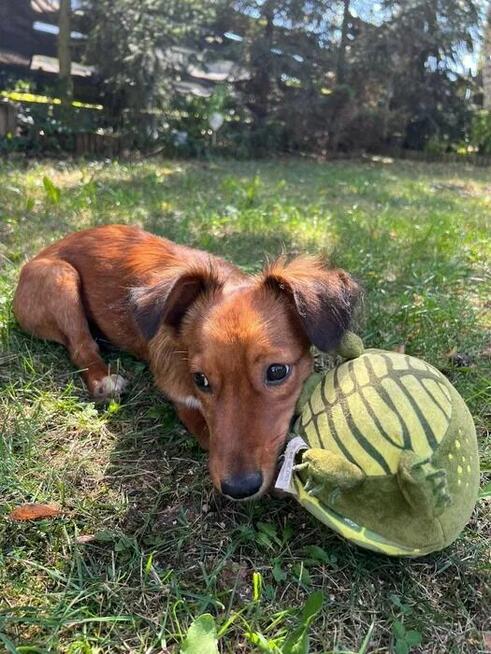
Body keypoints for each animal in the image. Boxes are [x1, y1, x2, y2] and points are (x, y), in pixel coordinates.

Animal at [13, 226, 360, 502]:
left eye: (277, 371)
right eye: (200, 379)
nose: (239, 489)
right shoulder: (184, 403)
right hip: (59, 278)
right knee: (81, 347)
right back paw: (103, 379)